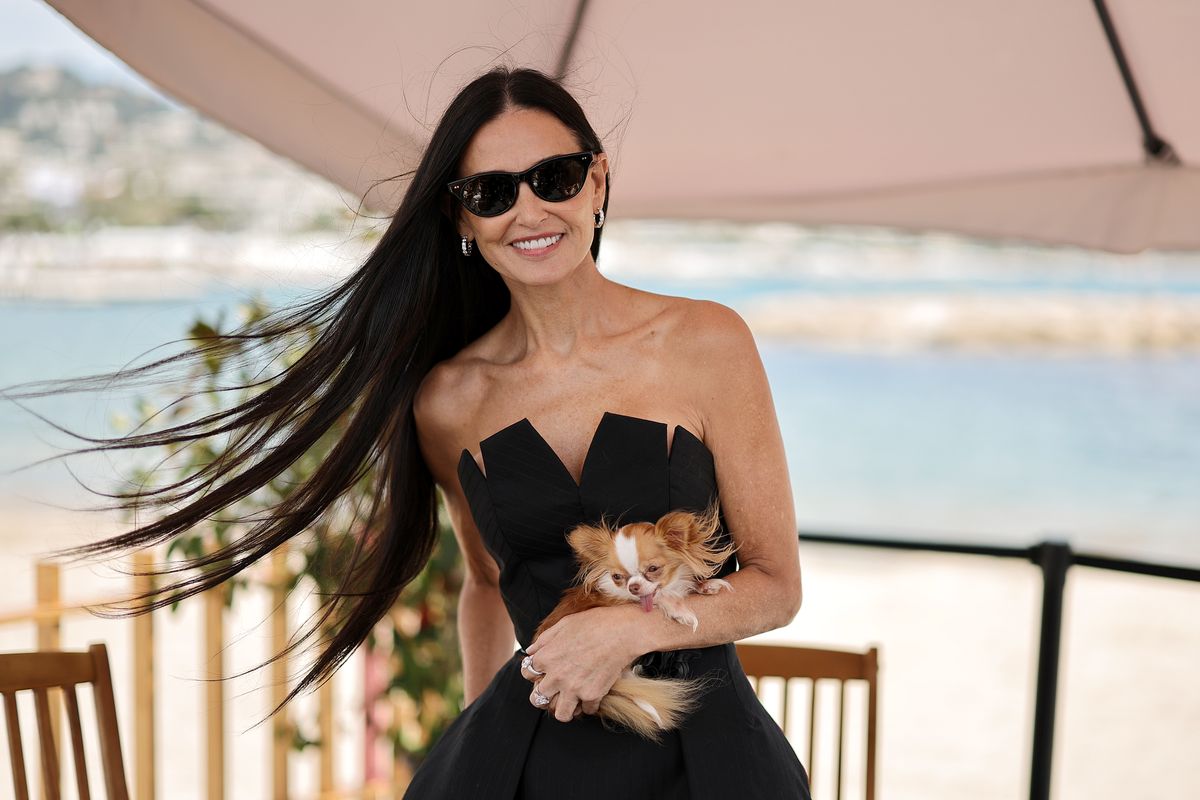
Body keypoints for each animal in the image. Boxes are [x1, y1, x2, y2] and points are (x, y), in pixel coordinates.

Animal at [530, 503, 734, 743]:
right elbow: (663, 597)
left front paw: (706, 585)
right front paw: (679, 609)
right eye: (617, 577)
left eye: (653, 569)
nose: (633, 587)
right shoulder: (616, 601)